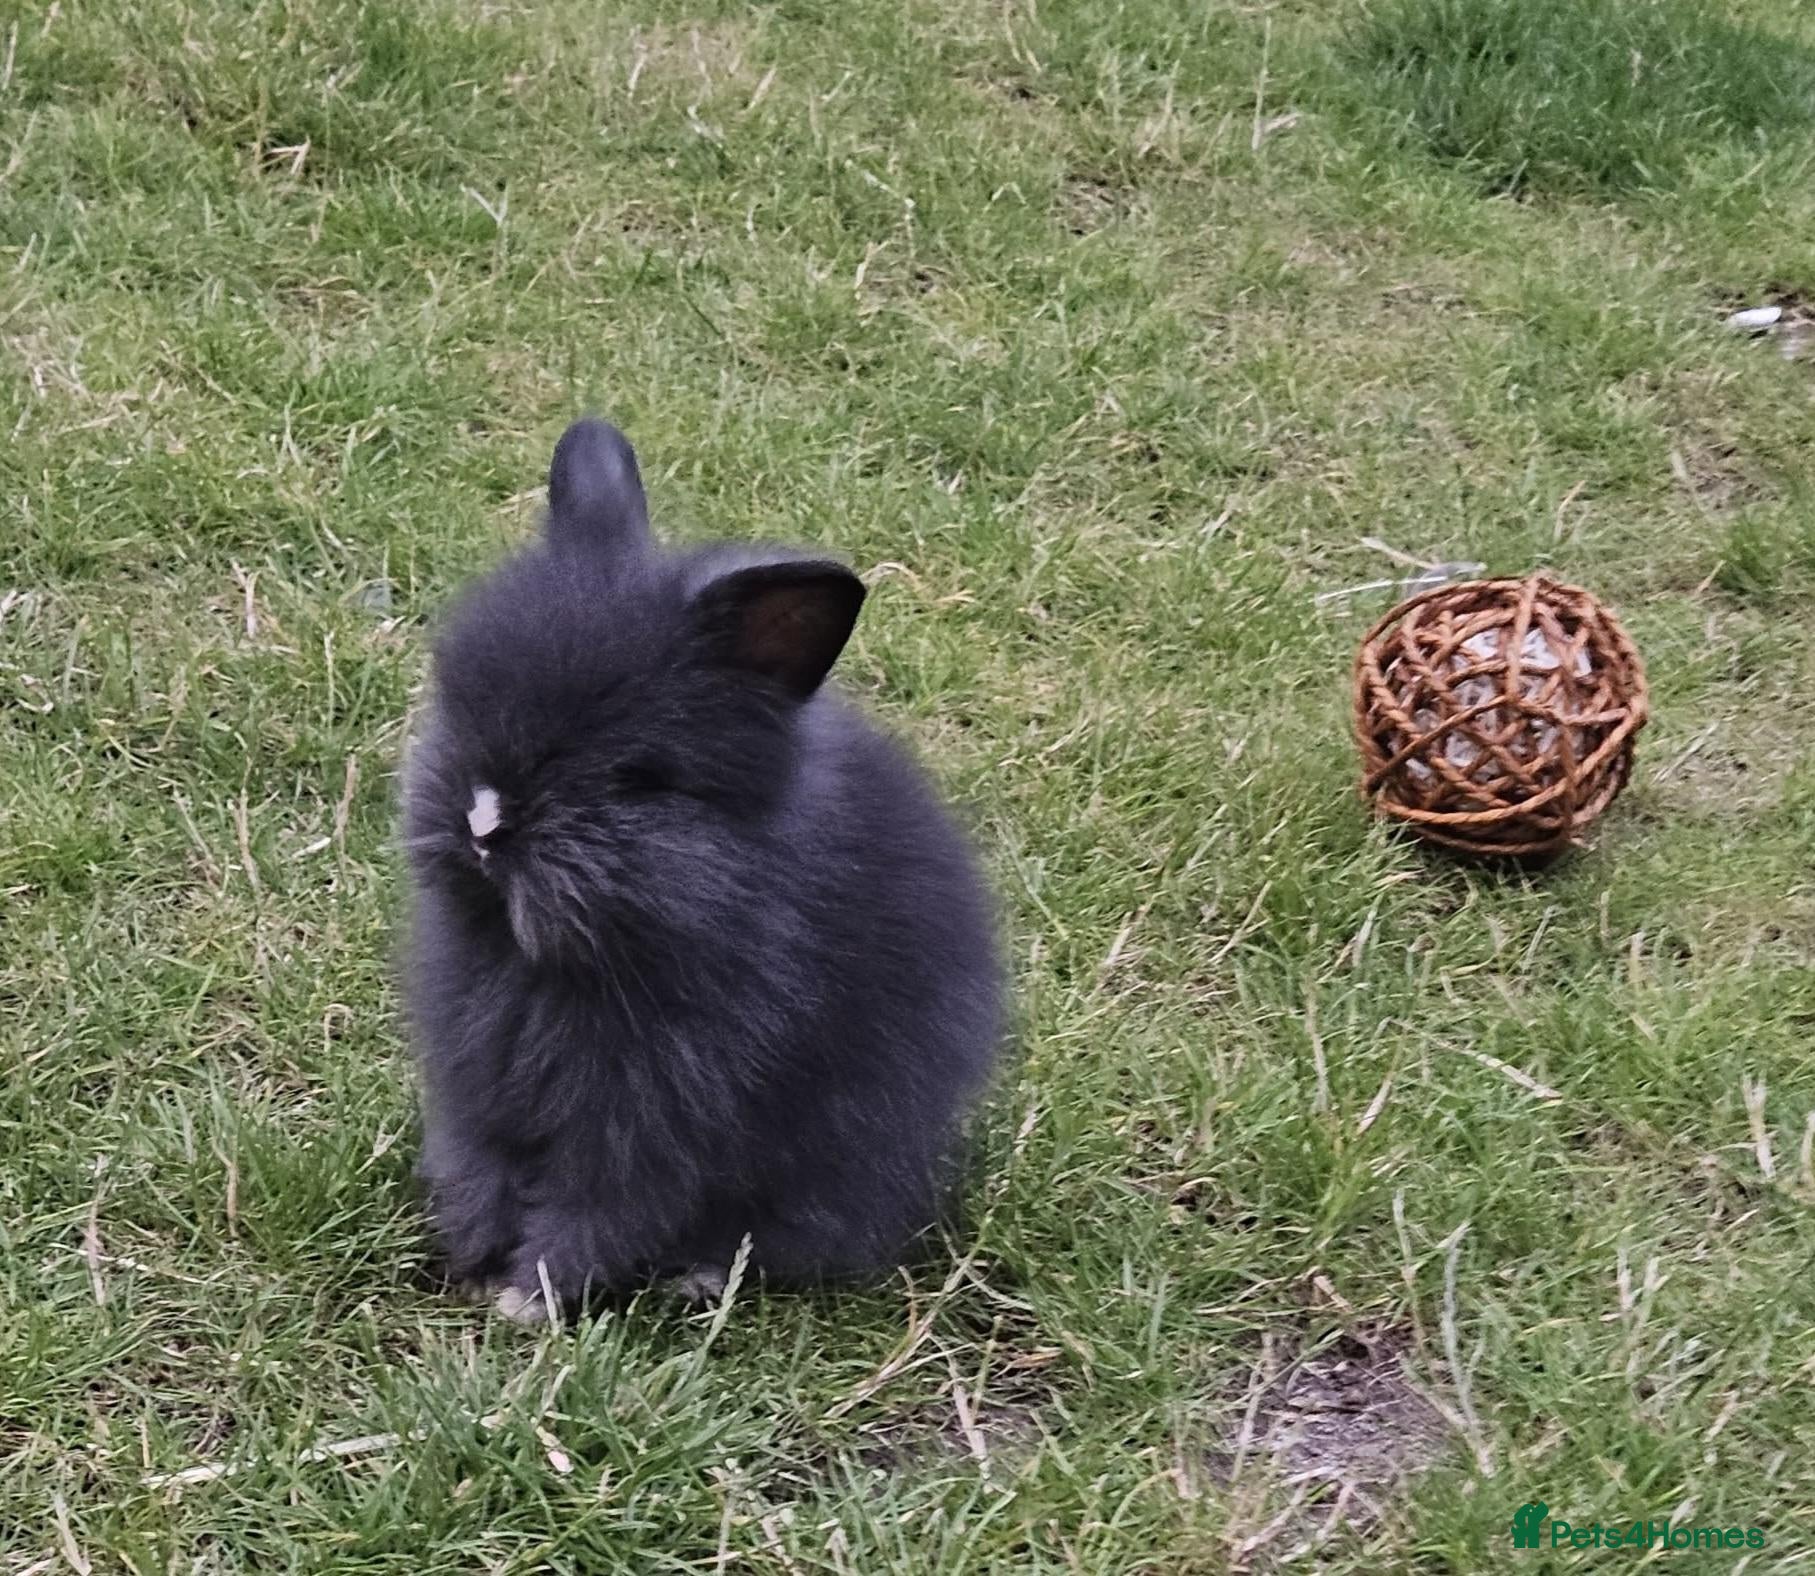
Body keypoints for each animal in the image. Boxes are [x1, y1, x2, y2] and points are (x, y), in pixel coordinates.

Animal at [401, 418, 1002, 1322]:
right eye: (460, 712)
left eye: (636, 780)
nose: (482, 825)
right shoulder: (480, 1095)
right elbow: (483, 1172)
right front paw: (475, 1266)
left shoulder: (654, 1123)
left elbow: (600, 1212)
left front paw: (527, 1299)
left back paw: (700, 1277)